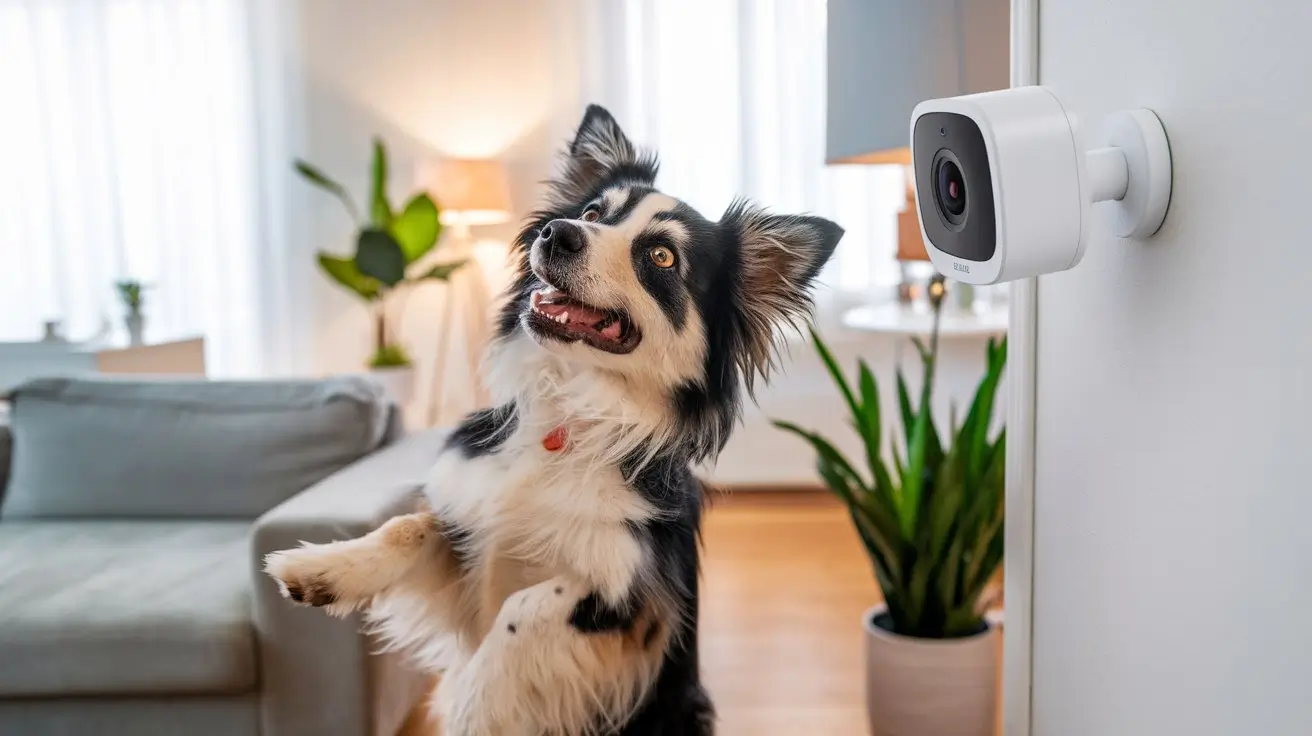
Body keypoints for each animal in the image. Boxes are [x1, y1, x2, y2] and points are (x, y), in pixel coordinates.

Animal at [263, 104, 839, 734]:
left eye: (662, 257)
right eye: (591, 213)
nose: (557, 232)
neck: (567, 410)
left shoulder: (633, 596)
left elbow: (526, 608)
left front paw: (474, 699)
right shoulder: (467, 535)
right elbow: (409, 524)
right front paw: (325, 566)